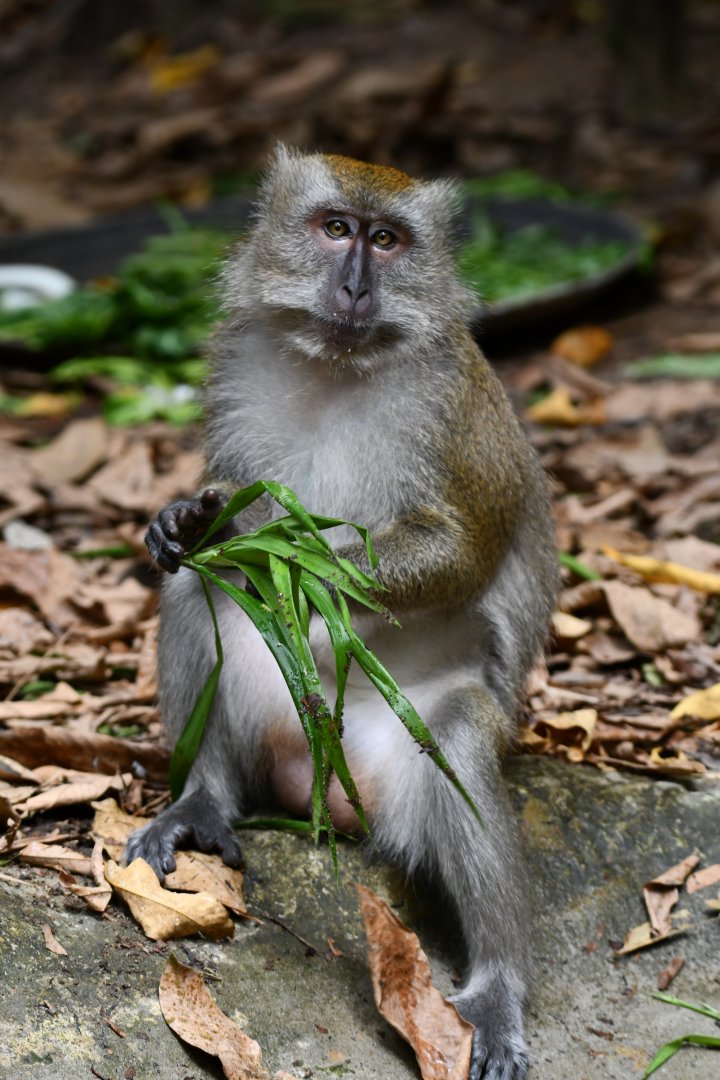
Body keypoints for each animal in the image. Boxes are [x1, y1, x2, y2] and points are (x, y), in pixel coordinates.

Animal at [126, 145, 558, 1080]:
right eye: (334, 228)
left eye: (387, 240)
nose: (356, 283)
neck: (337, 362)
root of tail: (319, 776)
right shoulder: (238, 361)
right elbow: (213, 541)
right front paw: (191, 521)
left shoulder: (449, 406)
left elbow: (462, 550)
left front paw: (297, 556)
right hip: (270, 725)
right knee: (198, 589)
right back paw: (202, 800)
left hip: (401, 767)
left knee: (460, 736)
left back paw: (499, 988)